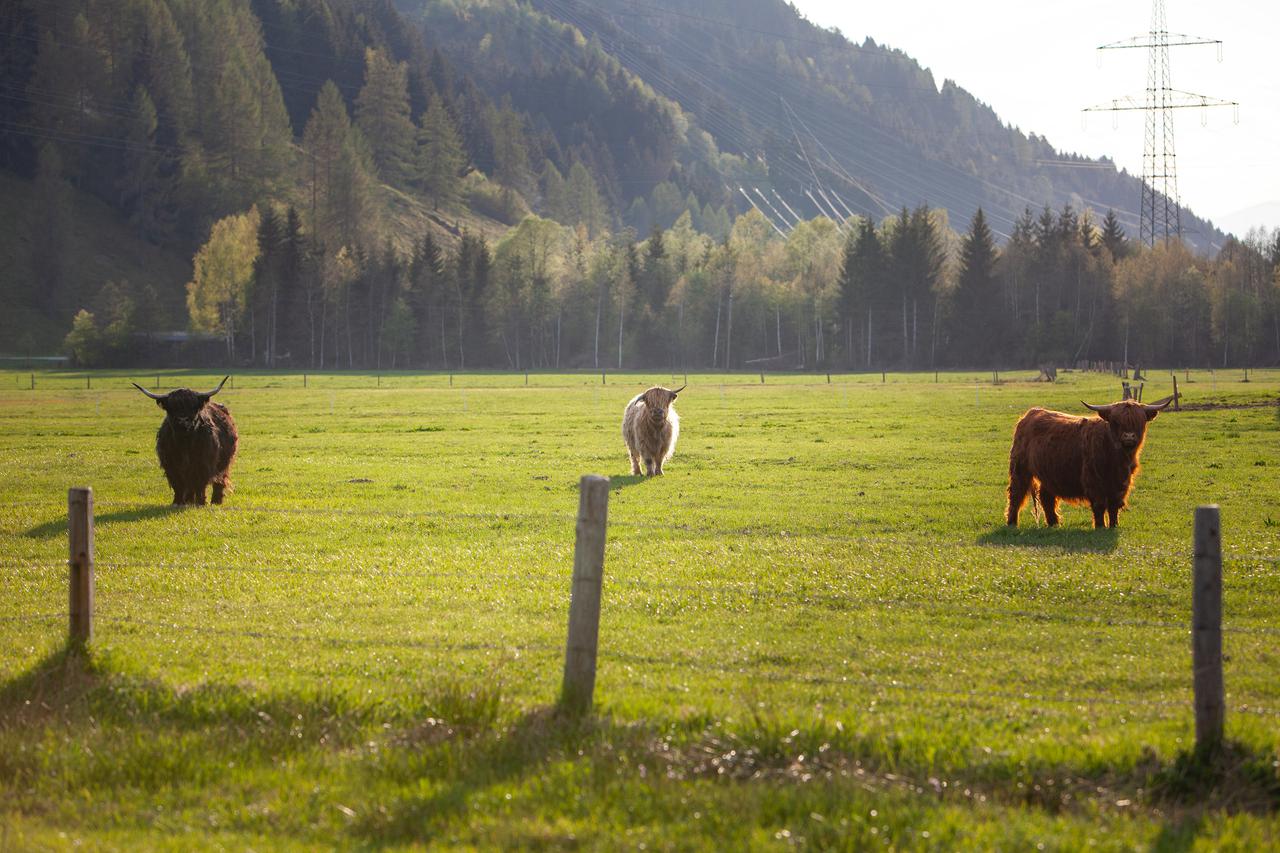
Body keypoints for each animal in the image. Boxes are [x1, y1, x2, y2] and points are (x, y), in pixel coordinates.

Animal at [1008, 397, 1172, 525]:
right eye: (1116, 421)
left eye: (1139, 421)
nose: (1129, 437)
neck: (1117, 458)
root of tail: (1032, 413)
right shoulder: (1093, 479)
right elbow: (1099, 505)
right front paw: (1100, 527)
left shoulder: (1122, 483)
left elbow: (1114, 506)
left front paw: (1114, 525)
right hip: (1020, 468)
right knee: (1016, 494)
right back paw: (1012, 522)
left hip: (1049, 473)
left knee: (1046, 497)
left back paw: (1054, 523)